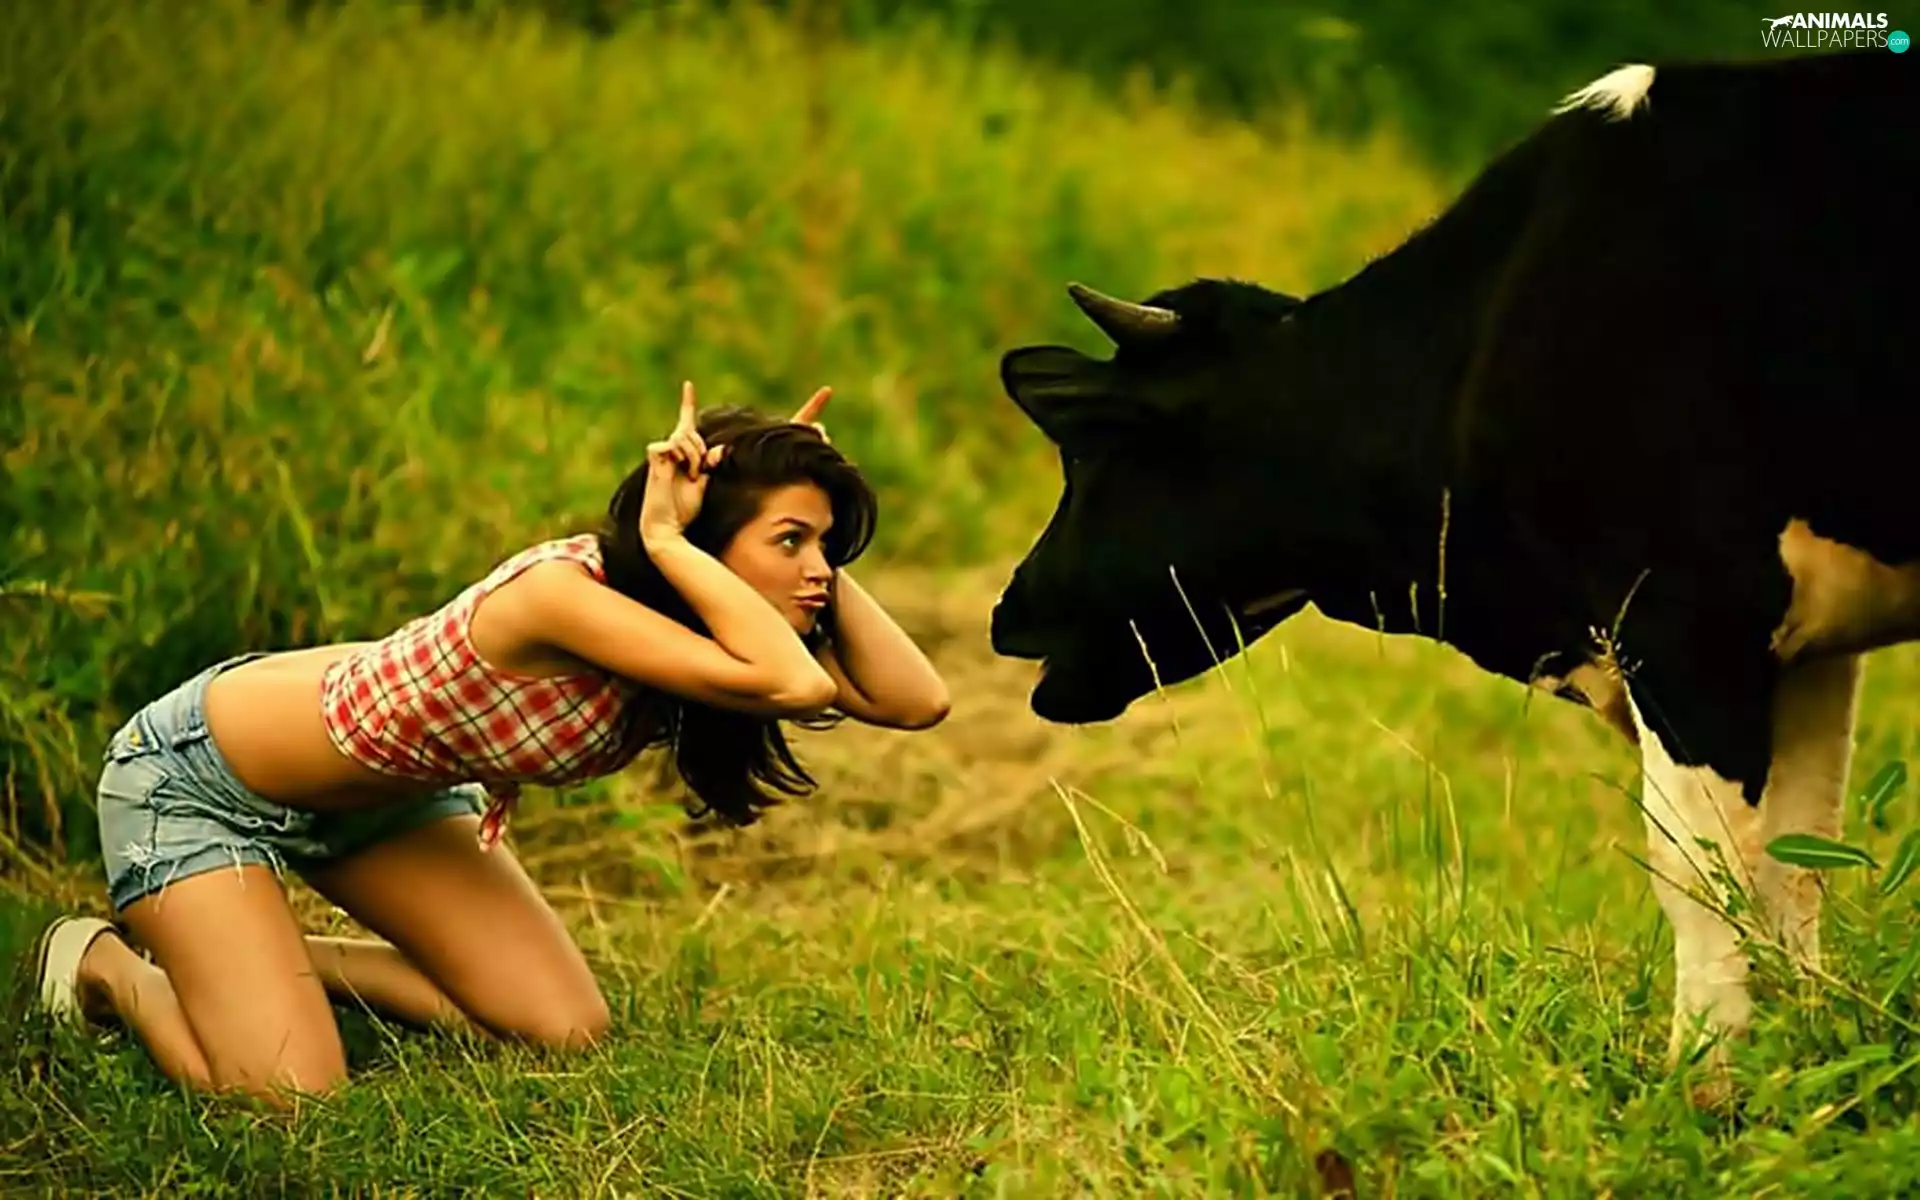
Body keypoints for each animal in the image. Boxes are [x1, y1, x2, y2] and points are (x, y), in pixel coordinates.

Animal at [988, 47, 1918, 1089]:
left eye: (1090, 446)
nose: (1006, 611)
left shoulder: (1688, 616)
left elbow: (1698, 868)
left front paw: (1704, 1081)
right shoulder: (1802, 643)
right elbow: (1796, 858)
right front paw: (1802, 1056)